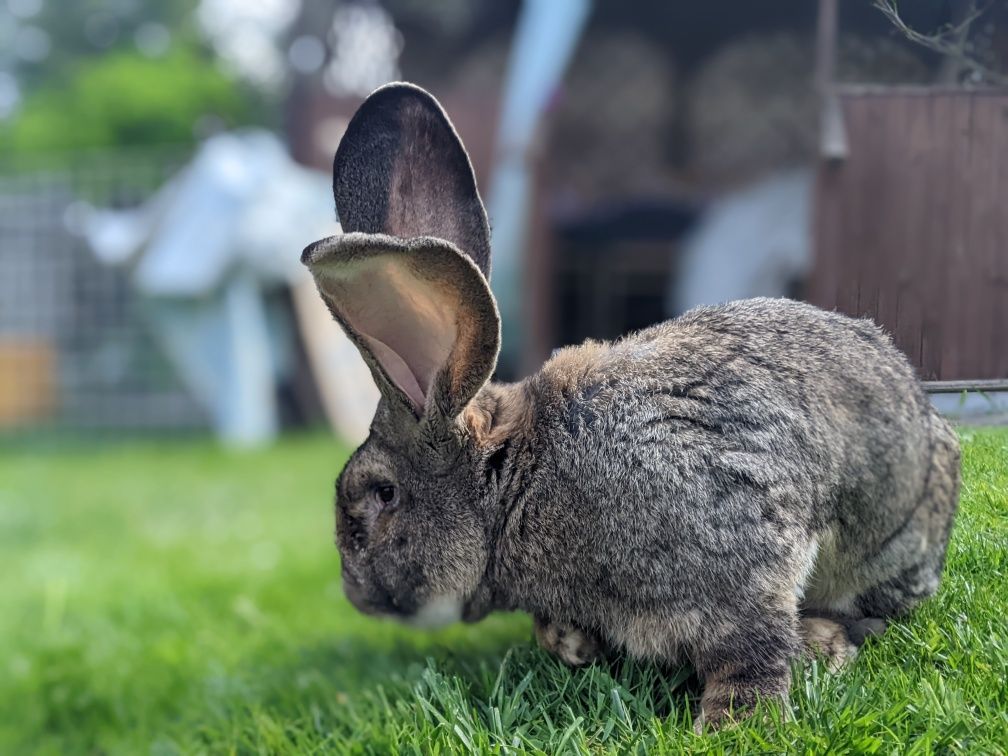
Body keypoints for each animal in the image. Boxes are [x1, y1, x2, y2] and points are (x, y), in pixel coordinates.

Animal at [300, 81, 959, 729]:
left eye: (382, 495)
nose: (356, 594)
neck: (517, 485)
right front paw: (570, 643)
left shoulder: (736, 555)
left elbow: (753, 649)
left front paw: (734, 724)